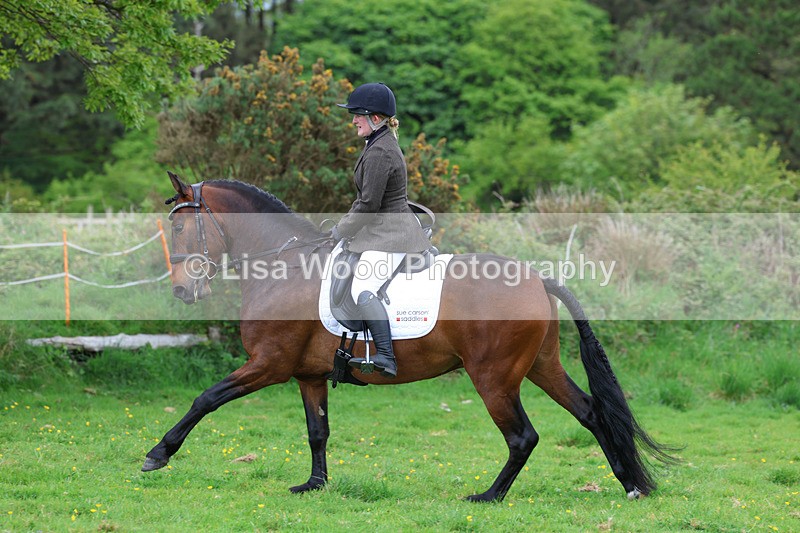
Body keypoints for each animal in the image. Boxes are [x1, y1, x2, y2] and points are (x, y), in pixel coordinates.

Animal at [142, 172, 675, 502]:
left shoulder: (268, 364)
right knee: (590, 413)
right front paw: (315, 485)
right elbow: (317, 431)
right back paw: (629, 485)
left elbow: (207, 398)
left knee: (522, 436)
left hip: (494, 377)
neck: (283, 266)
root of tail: (538, 279)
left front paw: (158, 454)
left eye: (182, 227)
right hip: (542, 367)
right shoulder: (306, 374)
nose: (183, 291)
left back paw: (489, 496)